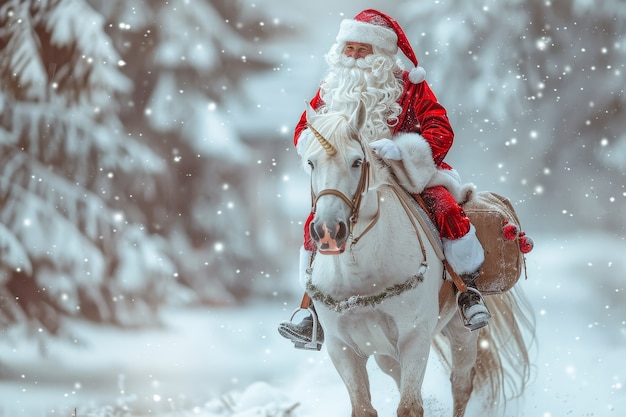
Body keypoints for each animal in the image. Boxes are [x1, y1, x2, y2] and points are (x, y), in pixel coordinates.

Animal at [300, 105, 532, 416]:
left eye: (357, 161)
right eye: (311, 163)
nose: (327, 230)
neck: (360, 274)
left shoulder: (414, 339)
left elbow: (410, 407)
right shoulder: (342, 348)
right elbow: (364, 408)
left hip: (461, 331)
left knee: (461, 383)